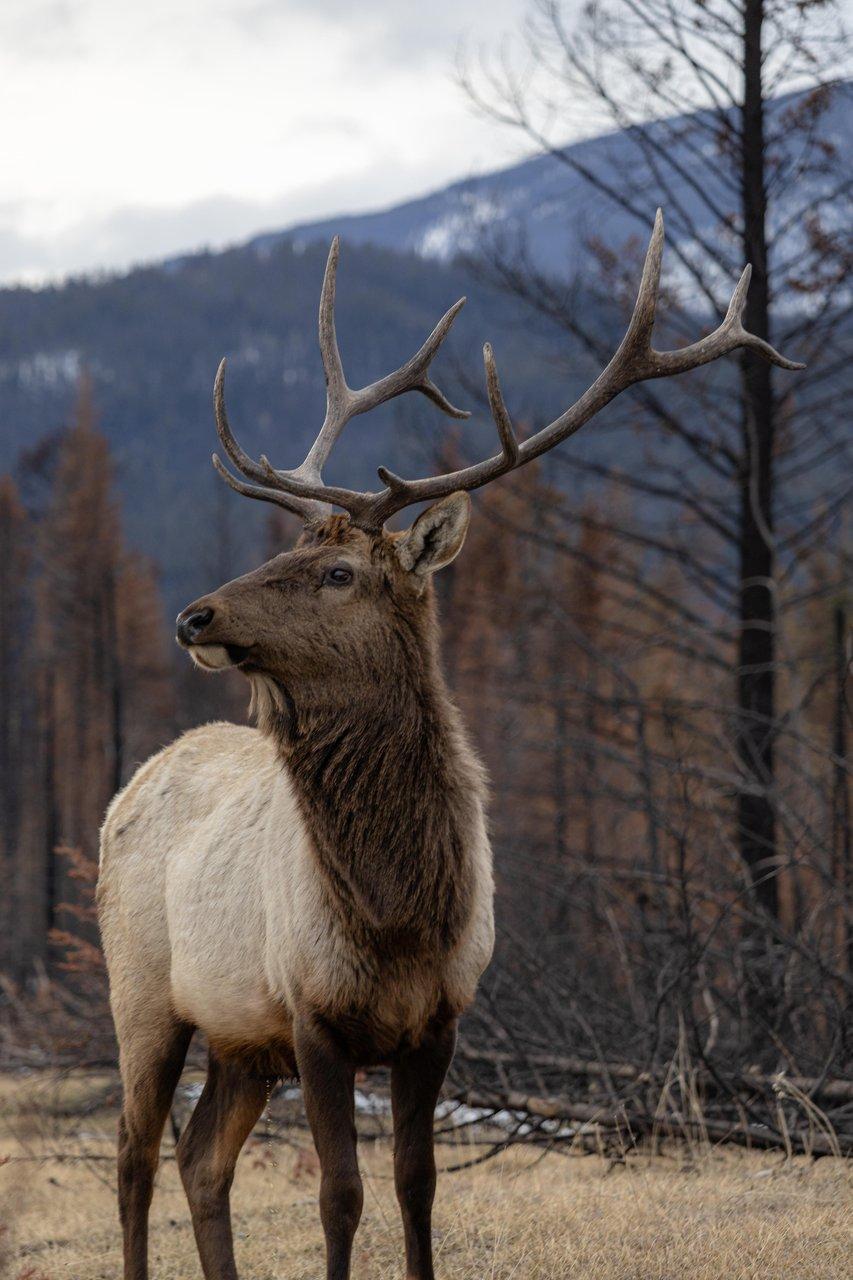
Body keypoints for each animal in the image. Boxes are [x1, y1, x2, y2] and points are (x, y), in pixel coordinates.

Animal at [97, 210, 801, 1280]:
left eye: (338, 572)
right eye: (290, 552)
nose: (194, 614)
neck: (396, 912)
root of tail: (126, 789)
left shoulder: (436, 1020)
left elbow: (414, 1188)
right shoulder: (312, 1012)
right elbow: (340, 1196)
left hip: (236, 1035)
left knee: (197, 1157)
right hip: (139, 991)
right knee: (134, 1160)